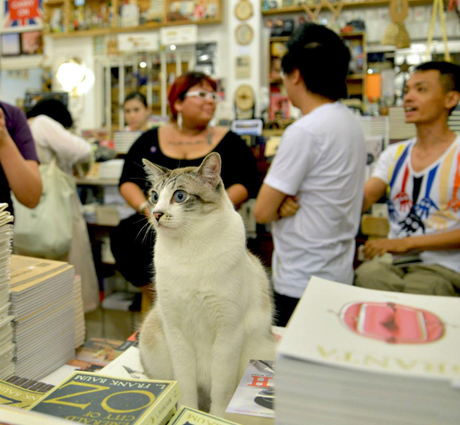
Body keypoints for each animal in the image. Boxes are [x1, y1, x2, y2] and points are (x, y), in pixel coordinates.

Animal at [138, 152, 276, 414]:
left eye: (179, 196)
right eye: (155, 197)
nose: (157, 214)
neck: (189, 247)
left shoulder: (228, 333)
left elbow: (220, 395)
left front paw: (216, 416)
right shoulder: (176, 332)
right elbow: (185, 389)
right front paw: (186, 412)